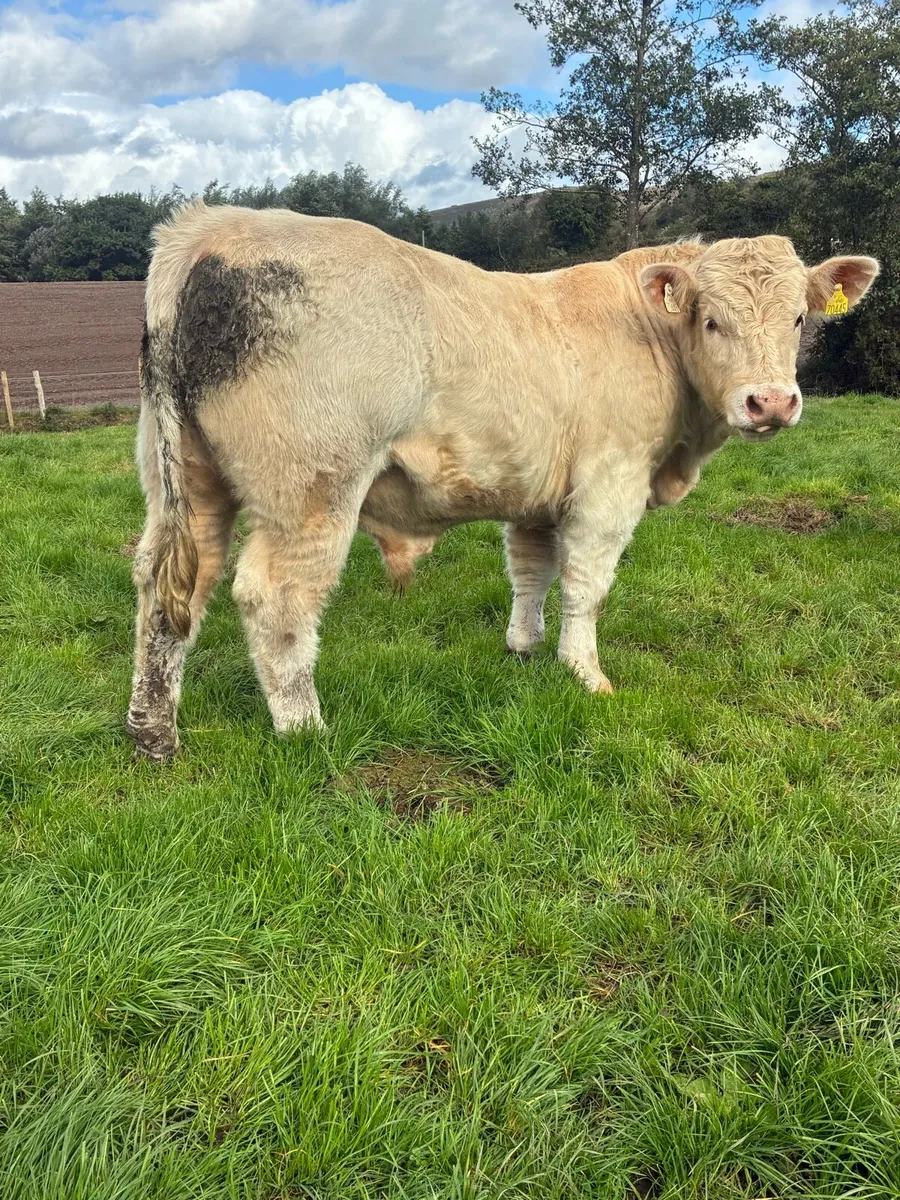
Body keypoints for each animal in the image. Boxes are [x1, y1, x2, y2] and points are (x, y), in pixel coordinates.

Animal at [126, 201, 878, 759]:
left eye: (799, 317)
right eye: (712, 319)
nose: (770, 402)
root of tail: (208, 228)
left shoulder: (537, 489)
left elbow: (530, 568)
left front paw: (523, 647)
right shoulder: (609, 484)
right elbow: (586, 583)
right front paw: (585, 674)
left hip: (185, 482)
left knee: (171, 587)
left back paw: (153, 730)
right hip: (312, 484)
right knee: (274, 598)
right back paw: (306, 730)